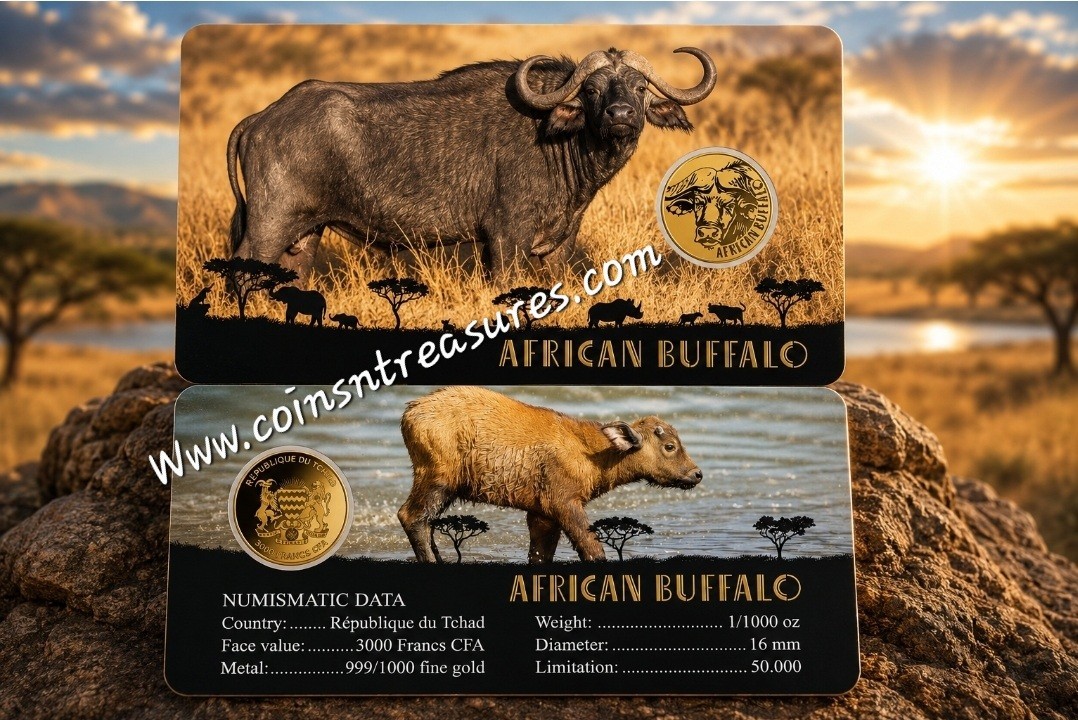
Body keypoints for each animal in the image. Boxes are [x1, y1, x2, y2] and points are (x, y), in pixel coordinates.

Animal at [228, 48, 716, 282]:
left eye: (639, 87)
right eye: (592, 90)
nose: (620, 115)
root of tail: (263, 117)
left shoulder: (558, 246)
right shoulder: (506, 238)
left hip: (303, 239)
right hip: (268, 230)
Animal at [398, 387, 701, 563]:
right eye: (670, 446)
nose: (696, 474)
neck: (592, 452)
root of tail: (410, 412)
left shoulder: (542, 515)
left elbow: (540, 556)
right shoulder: (565, 505)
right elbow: (593, 550)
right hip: (438, 480)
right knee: (411, 517)